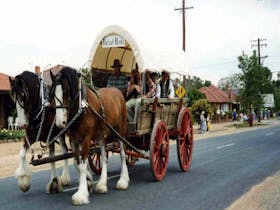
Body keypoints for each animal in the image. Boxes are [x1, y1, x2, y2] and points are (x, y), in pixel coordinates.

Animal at [49, 67, 129, 205]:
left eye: (66, 92)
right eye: (53, 93)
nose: (60, 123)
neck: (82, 108)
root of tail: (117, 91)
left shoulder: (86, 139)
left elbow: (82, 164)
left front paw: (81, 194)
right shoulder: (74, 140)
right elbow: (77, 163)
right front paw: (88, 182)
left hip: (120, 130)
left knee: (123, 154)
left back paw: (123, 180)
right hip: (101, 135)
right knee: (104, 156)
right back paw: (102, 184)